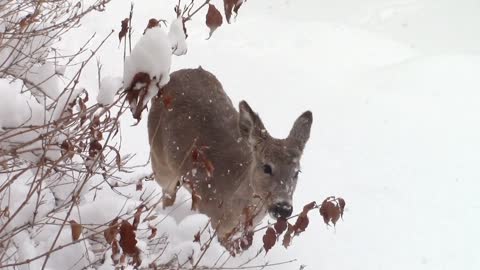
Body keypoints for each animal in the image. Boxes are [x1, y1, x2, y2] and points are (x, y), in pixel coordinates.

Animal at [148, 67, 314, 245]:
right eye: (267, 167)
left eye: (297, 172)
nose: (283, 208)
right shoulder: (215, 222)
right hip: (159, 160)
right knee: (167, 193)